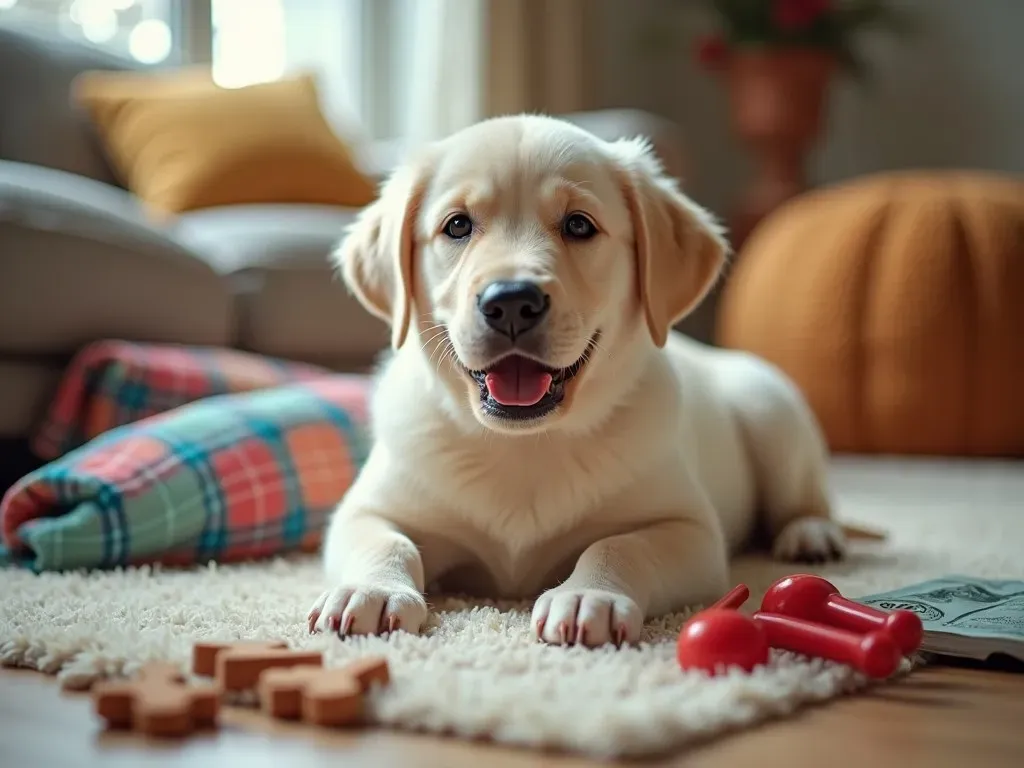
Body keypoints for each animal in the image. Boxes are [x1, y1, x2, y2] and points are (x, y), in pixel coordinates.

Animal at [305, 114, 847, 647]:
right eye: (457, 225)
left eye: (579, 225)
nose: (511, 301)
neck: (523, 444)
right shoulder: (365, 509)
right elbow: (387, 540)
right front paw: (370, 590)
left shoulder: (690, 531)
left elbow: (617, 545)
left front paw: (591, 596)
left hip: (770, 411)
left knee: (805, 497)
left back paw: (811, 535)